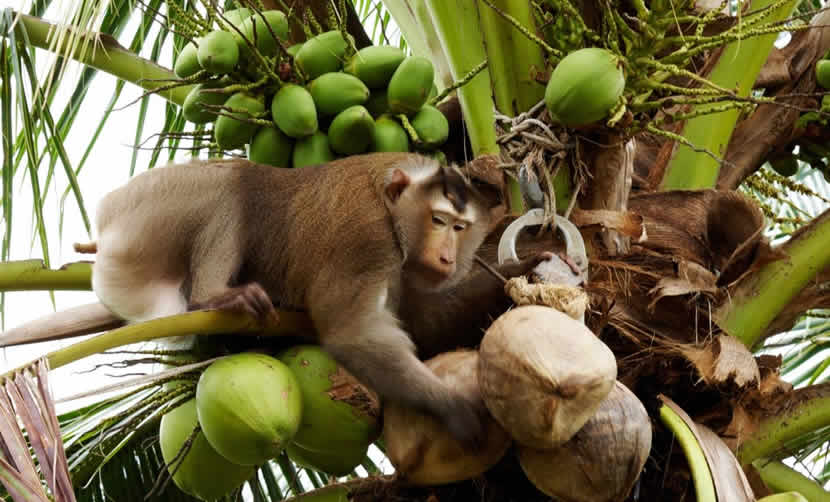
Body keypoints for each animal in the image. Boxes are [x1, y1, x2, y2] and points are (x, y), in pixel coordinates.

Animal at [3, 152, 556, 444]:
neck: (393, 206)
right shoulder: (367, 240)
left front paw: (519, 267)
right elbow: (352, 335)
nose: (445, 255)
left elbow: (424, 322)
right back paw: (213, 296)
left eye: (460, 228)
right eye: (438, 220)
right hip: (138, 219)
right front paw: (453, 408)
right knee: (236, 183)